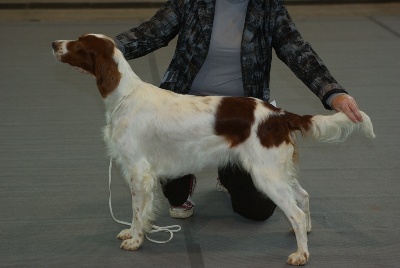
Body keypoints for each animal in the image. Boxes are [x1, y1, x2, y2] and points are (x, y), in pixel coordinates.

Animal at [52, 34, 376, 266]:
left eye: (78, 44)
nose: (54, 44)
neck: (124, 96)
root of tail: (279, 114)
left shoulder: (138, 172)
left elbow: (137, 211)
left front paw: (134, 240)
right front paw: (132, 234)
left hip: (265, 175)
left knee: (294, 211)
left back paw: (301, 254)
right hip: (278, 170)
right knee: (303, 197)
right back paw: (305, 233)